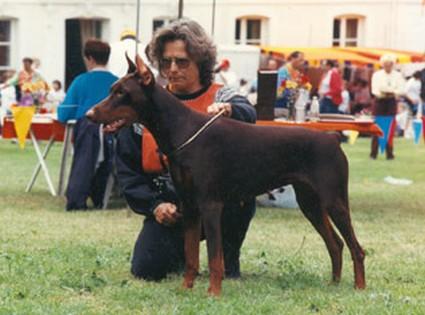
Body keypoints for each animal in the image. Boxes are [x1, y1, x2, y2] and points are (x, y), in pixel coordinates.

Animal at [87, 55, 364, 298]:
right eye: (112, 89)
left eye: (122, 92)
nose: (89, 114)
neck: (182, 130)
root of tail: (332, 138)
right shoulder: (189, 206)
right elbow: (191, 256)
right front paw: (186, 289)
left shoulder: (210, 205)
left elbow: (214, 256)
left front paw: (213, 293)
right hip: (310, 203)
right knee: (335, 244)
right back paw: (334, 284)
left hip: (334, 200)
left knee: (356, 247)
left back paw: (359, 287)